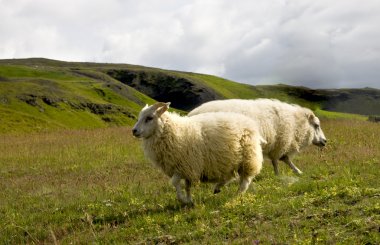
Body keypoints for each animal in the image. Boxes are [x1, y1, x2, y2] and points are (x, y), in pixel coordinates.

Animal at [133, 101, 264, 205]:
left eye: (149, 118)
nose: (134, 131)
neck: (172, 131)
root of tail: (250, 123)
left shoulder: (185, 165)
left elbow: (175, 182)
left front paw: (182, 199)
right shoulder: (185, 168)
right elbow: (187, 186)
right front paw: (189, 200)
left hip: (248, 157)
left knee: (245, 181)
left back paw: (237, 196)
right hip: (229, 160)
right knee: (229, 176)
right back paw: (217, 188)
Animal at [189, 98, 328, 175]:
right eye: (316, 125)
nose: (325, 141)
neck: (296, 123)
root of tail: (191, 114)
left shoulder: (278, 144)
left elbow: (283, 159)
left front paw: (297, 171)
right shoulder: (281, 142)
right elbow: (279, 160)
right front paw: (280, 175)